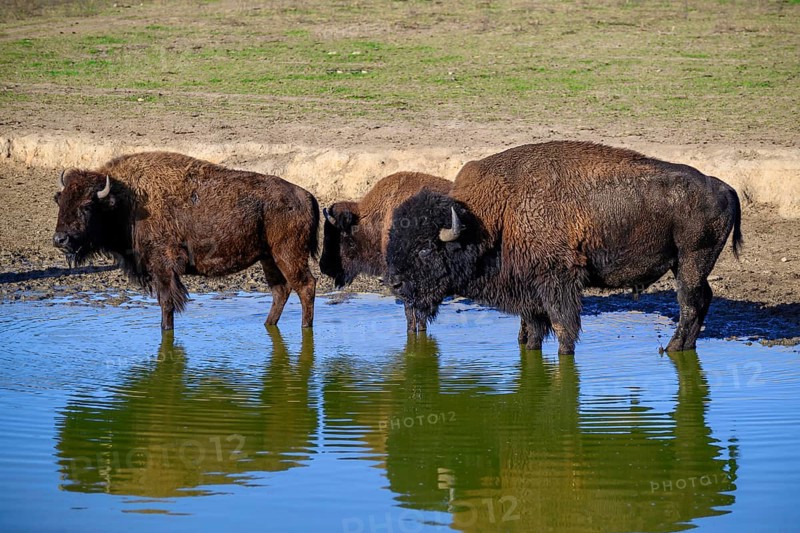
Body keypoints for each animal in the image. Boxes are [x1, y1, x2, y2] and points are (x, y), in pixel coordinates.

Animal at [53, 151, 319, 330]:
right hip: (268, 258)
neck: (126, 200)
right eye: (61, 202)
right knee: (281, 290)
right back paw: (268, 324)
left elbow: (167, 304)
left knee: (305, 286)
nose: (60, 239)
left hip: (288, 255)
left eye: (87, 206)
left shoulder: (163, 267)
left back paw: (305, 327)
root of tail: (306, 196)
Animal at [386, 141, 743, 354]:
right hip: (688, 265)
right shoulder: (528, 291)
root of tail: (725, 188)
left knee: (689, 303)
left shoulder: (558, 281)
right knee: (701, 300)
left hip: (691, 261)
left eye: (425, 249)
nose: (394, 283)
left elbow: (562, 327)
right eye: (394, 240)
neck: (492, 216)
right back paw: (680, 348)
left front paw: (564, 355)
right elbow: (529, 330)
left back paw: (672, 348)